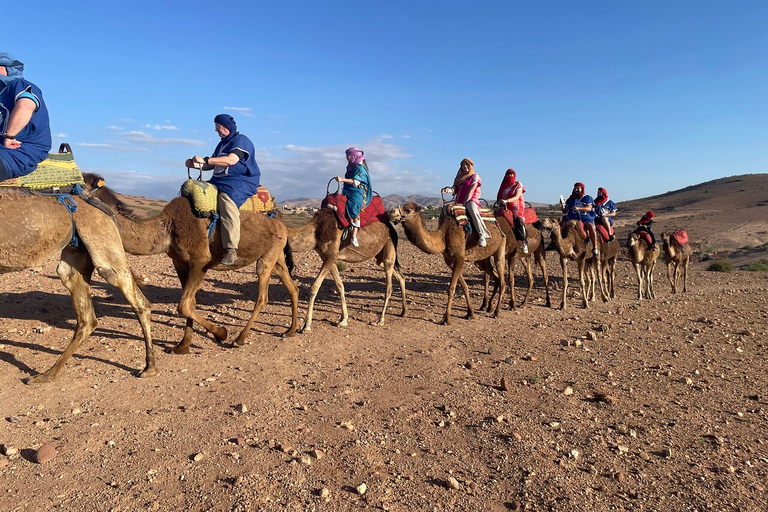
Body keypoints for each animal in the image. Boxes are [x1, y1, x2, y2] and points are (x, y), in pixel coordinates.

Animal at [0, 190, 156, 382]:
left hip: (104, 248)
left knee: (139, 302)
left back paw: (150, 368)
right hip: (76, 256)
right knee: (87, 318)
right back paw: (47, 374)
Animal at [84, 174, 298, 354]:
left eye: (79, 183)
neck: (167, 227)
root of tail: (279, 220)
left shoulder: (200, 261)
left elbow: (184, 305)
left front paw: (221, 333)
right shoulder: (179, 262)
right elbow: (190, 303)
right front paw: (182, 345)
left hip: (267, 258)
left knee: (262, 296)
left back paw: (240, 338)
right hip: (277, 256)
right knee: (292, 287)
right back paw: (291, 330)